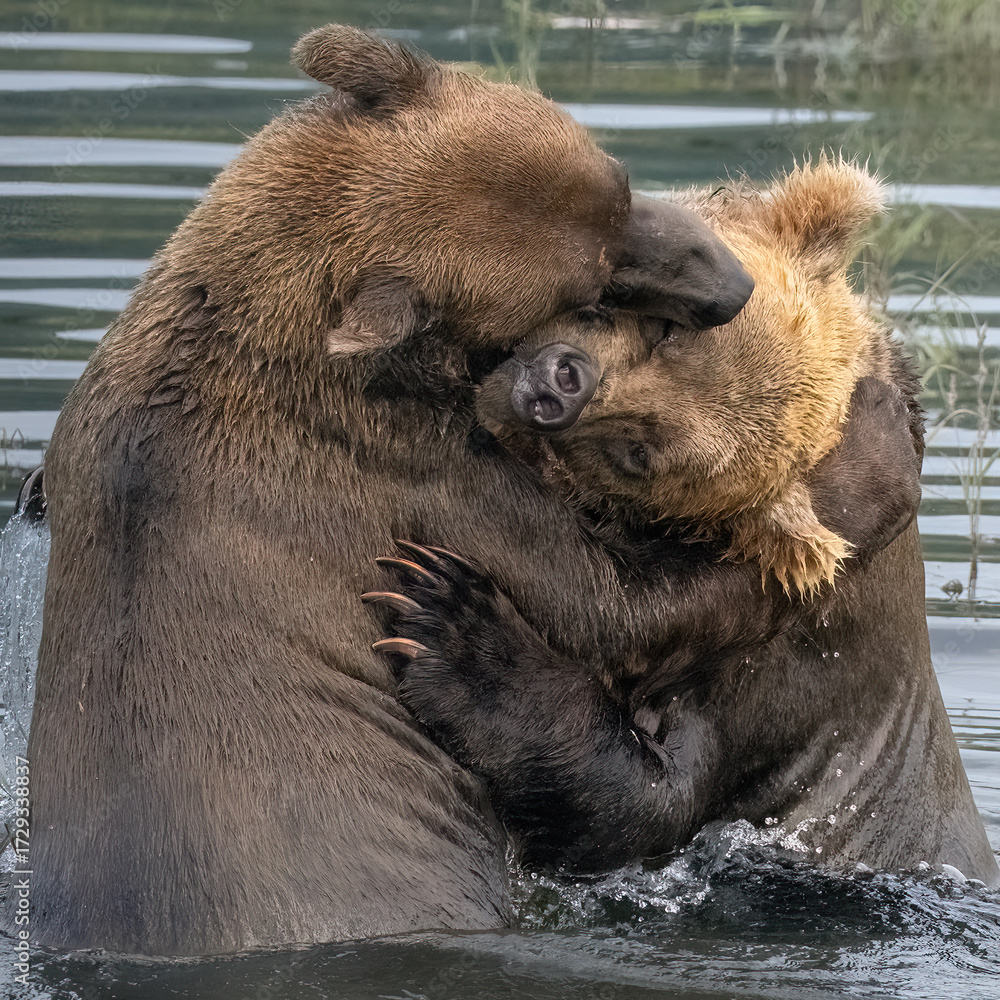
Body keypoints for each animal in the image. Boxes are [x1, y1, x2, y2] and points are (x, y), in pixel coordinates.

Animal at [369, 161, 999, 885]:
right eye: (666, 333)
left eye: (641, 452)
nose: (558, 385)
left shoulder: (783, 693)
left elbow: (637, 800)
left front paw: (453, 625)